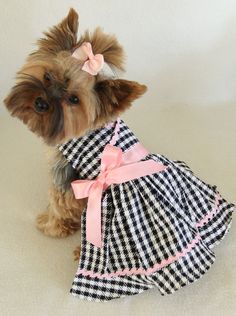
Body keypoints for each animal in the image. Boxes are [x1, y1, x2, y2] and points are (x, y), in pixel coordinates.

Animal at [3, 8, 147, 260]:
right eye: (48, 76)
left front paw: (50, 225)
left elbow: (58, 205)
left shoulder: (65, 179)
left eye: (73, 99)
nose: (41, 103)